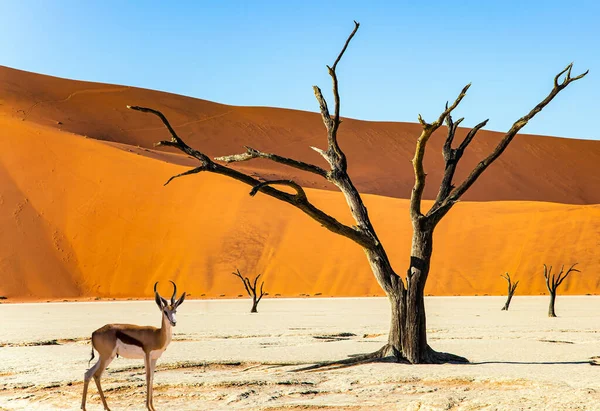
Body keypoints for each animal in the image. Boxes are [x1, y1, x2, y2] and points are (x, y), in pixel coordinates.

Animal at [81, 282, 185, 411]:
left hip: (105, 357)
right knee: (96, 375)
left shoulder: (154, 358)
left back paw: (84, 407)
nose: (174, 322)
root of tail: (94, 333)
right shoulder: (147, 355)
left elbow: (152, 378)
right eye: (165, 312)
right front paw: (148, 407)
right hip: (106, 357)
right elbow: (148, 377)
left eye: (175, 310)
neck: (158, 335)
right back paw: (107, 407)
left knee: (88, 374)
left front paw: (153, 407)